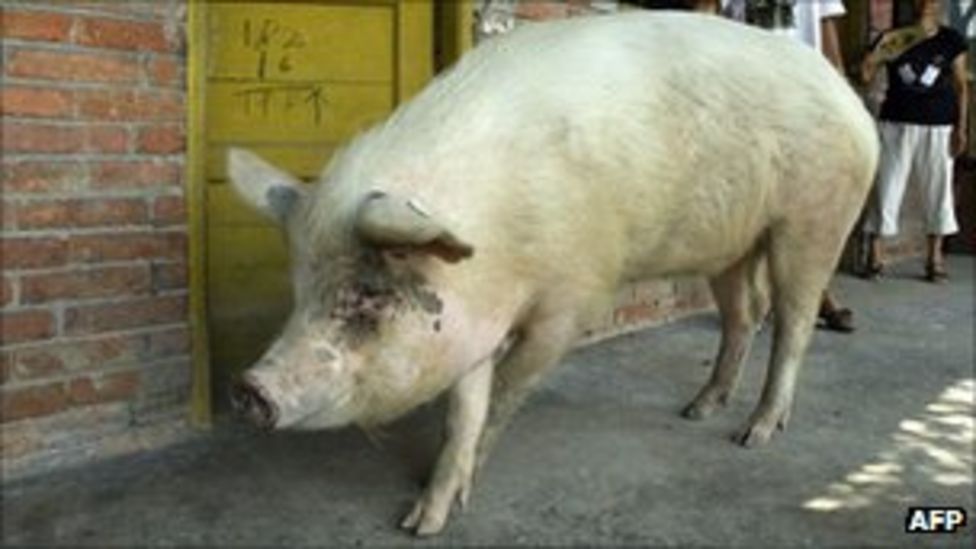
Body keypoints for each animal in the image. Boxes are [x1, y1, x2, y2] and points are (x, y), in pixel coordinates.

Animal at [227, 11, 879, 536]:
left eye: (367, 295)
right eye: (299, 293)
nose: (251, 387)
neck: (500, 240)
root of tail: (850, 101)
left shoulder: (573, 299)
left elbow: (503, 395)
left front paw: (444, 503)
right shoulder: (468, 321)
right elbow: (464, 411)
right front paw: (421, 522)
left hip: (815, 218)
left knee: (792, 323)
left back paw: (754, 433)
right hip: (735, 244)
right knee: (745, 315)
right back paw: (697, 410)